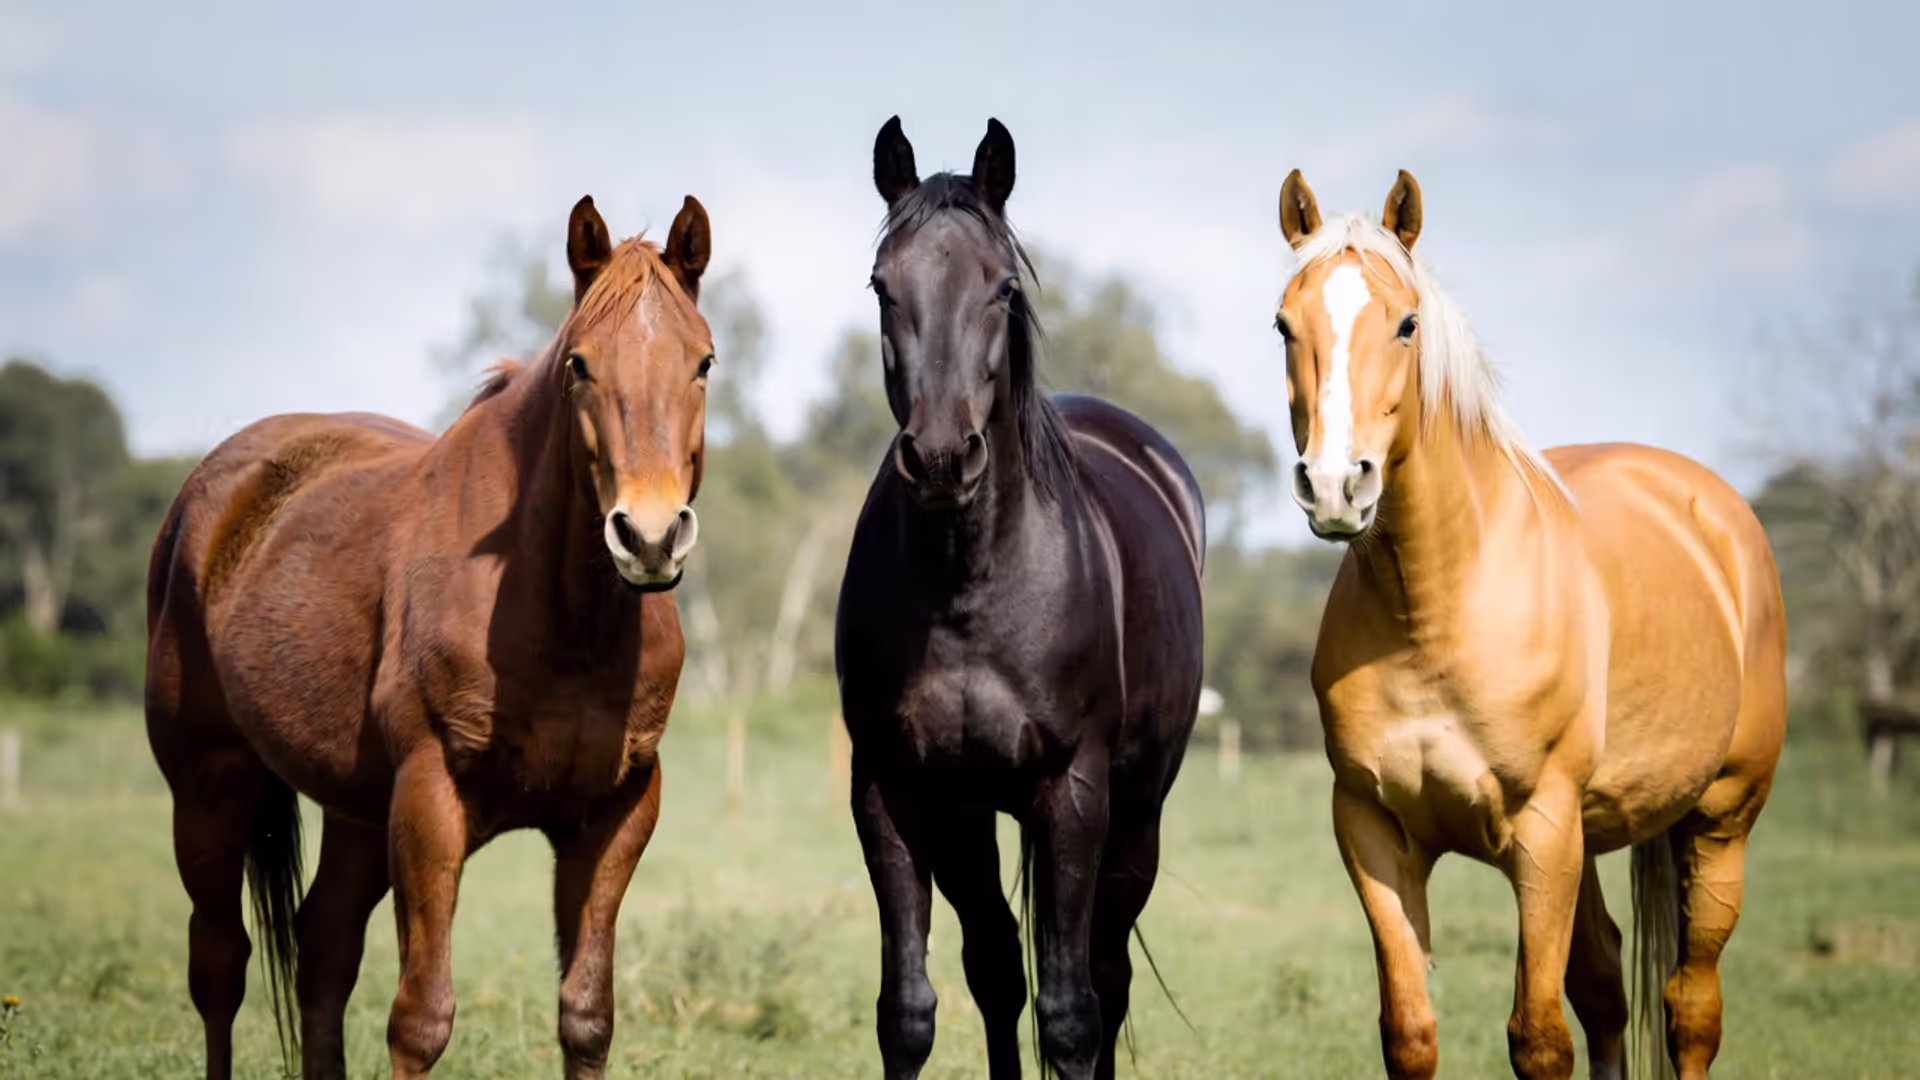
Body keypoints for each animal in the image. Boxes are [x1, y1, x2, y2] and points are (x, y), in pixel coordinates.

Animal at [144, 192, 716, 1079]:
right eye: (580, 365)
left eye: (704, 364)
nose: (649, 537)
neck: (564, 621)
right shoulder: (430, 800)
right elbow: (420, 1020)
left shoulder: (617, 811)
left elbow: (586, 1016)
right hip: (207, 788)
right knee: (220, 967)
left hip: (353, 812)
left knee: (323, 950)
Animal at [834, 116, 1208, 1080]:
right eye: (882, 284)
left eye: (1001, 285)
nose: (939, 457)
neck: (970, 584)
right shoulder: (894, 789)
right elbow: (911, 1010)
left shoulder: (1069, 791)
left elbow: (1073, 1015)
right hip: (969, 816)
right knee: (999, 964)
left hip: (1137, 815)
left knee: (1105, 976)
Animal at [1273, 169, 1786, 1080]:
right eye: (1282, 324)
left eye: (1406, 324)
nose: (1335, 486)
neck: (1435, 608)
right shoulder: (1373, 831)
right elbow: (1411, 1032)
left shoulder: (1542, 835)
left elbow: (1540, 1039)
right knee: (1608, 987)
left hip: (1720, 821)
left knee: (1690, 1008)